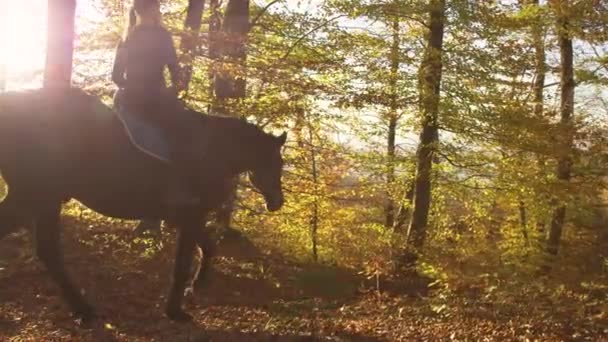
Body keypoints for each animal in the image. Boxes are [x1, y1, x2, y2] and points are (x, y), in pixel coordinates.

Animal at [0, 88, 288, 320]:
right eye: (277, 161)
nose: (277, 202)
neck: (211, 153)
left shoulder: (190, 218)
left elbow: (208, 247)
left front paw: (197, 285)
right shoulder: (190, 217)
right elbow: (183, 264)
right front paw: (175, 310)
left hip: (41, 199)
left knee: (47, 251)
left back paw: (82, 308)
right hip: (37, 196)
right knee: (47, 250)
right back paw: (83, 308)